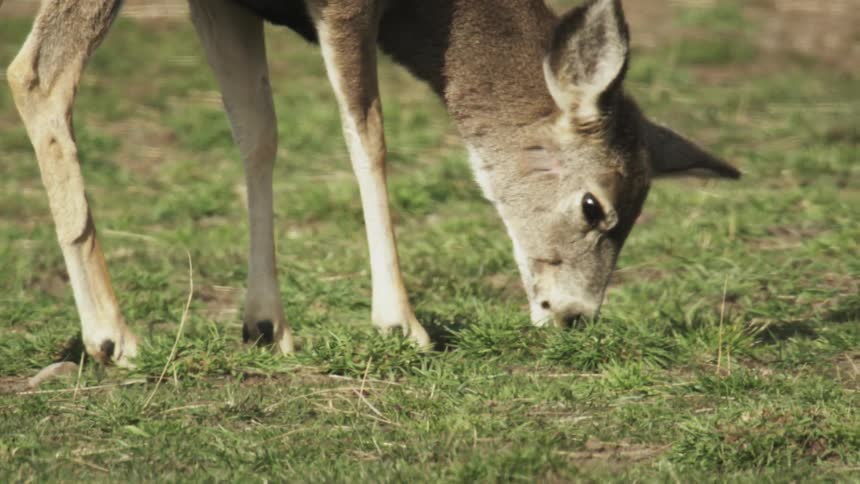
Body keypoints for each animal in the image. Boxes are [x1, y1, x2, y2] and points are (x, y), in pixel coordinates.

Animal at [7, 0, 740, 367]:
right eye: (595, 206)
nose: (574, 316)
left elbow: (257, 128)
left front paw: (267, 326)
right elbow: (368, 132)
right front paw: (402, 324)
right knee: (37, 72)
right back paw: (112, 336)